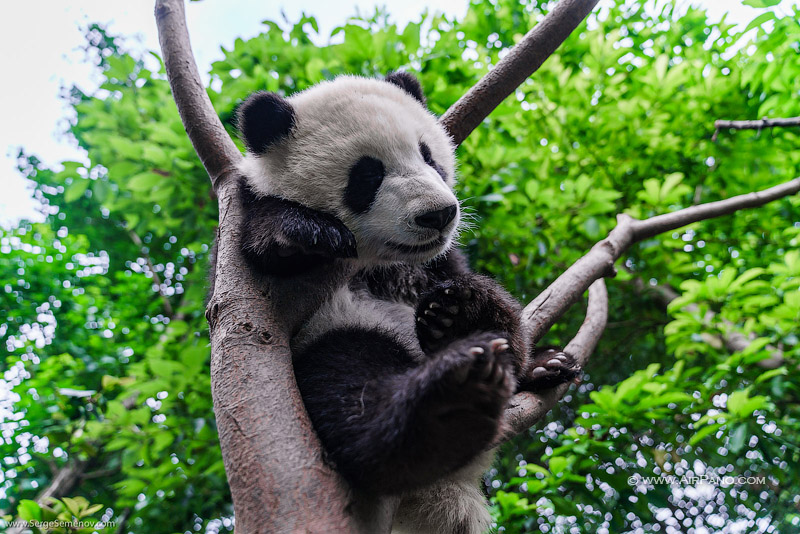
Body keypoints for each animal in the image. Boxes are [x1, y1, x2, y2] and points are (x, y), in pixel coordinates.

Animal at [234, 74, 580, 534]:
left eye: (428, 156)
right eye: (367, 175)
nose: (439, 215)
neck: (381, 263)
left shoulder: (437, 261)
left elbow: (495, 306)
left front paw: (462, 309)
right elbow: (265, 241)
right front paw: (306, 231)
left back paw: (523, 357)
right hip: (337, 336)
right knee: (353, 391)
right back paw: (452, 403)